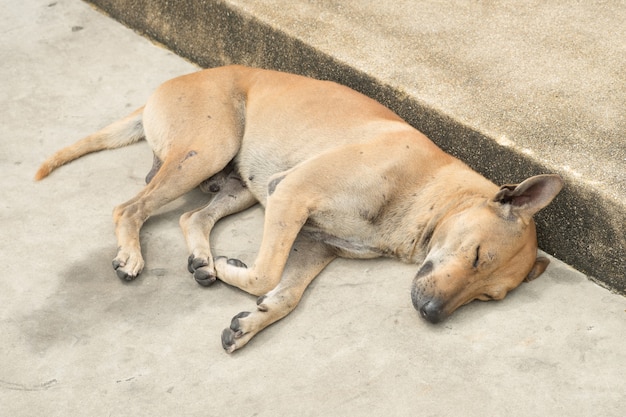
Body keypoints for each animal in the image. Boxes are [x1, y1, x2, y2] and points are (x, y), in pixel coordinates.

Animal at [34, 65, 560, 352]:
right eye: (476, 255)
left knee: (191, 215)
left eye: (487, 298)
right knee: (130, 208)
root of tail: (168, 85)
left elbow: (285, 294)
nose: (431, 314)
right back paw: (135, 254)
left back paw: (202, 257)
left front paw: (251, 319)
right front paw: (230, 269)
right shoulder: (291, 195)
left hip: (240, 185)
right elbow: (265, 273)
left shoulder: (314, 242)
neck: (429, 192)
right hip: (210, 151)